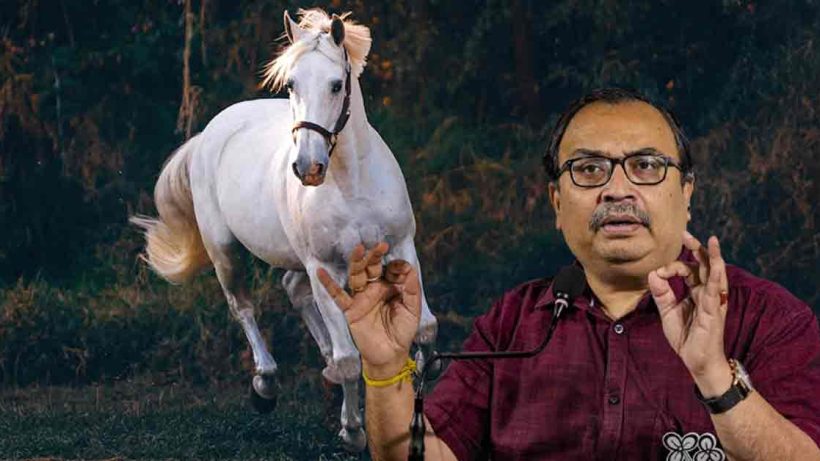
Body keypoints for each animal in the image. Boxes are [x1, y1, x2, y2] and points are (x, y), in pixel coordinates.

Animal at [134, 9, 438, 452]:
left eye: (337, 84)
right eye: (291, 83)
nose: (307, 168)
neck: (352, 183)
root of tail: (209, 133)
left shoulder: (400, 247)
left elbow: (425, 329)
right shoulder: (324, 267)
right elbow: (351, 360)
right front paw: (352, 431)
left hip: (295, 258)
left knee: (293, 290)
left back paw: (323, 368)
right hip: (225, 251)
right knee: (243, 307)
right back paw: (265, 385)